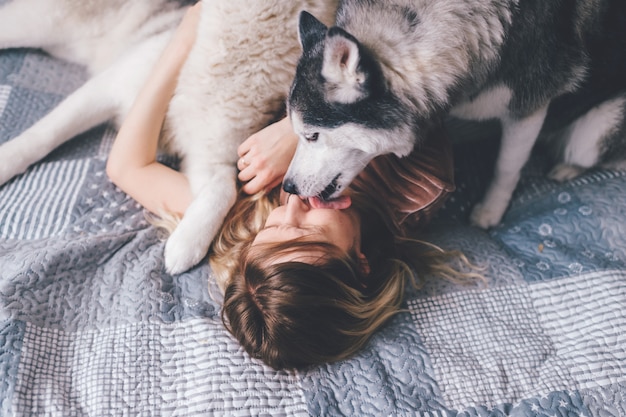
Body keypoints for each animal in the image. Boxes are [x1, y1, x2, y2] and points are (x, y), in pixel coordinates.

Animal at [0, 0, 336, 272]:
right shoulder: (110, 87)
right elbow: (42, 136)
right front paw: (7, 161)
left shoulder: (213, 154)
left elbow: (224, 190)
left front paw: (187, 243)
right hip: (34, 25)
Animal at [282, 0, 624, 228]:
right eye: (298, 132)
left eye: (313, 134)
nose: (288, 187)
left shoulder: (529, 106)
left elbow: (507, 166)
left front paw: (490, 210)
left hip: (592, 134)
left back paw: (567, 167)